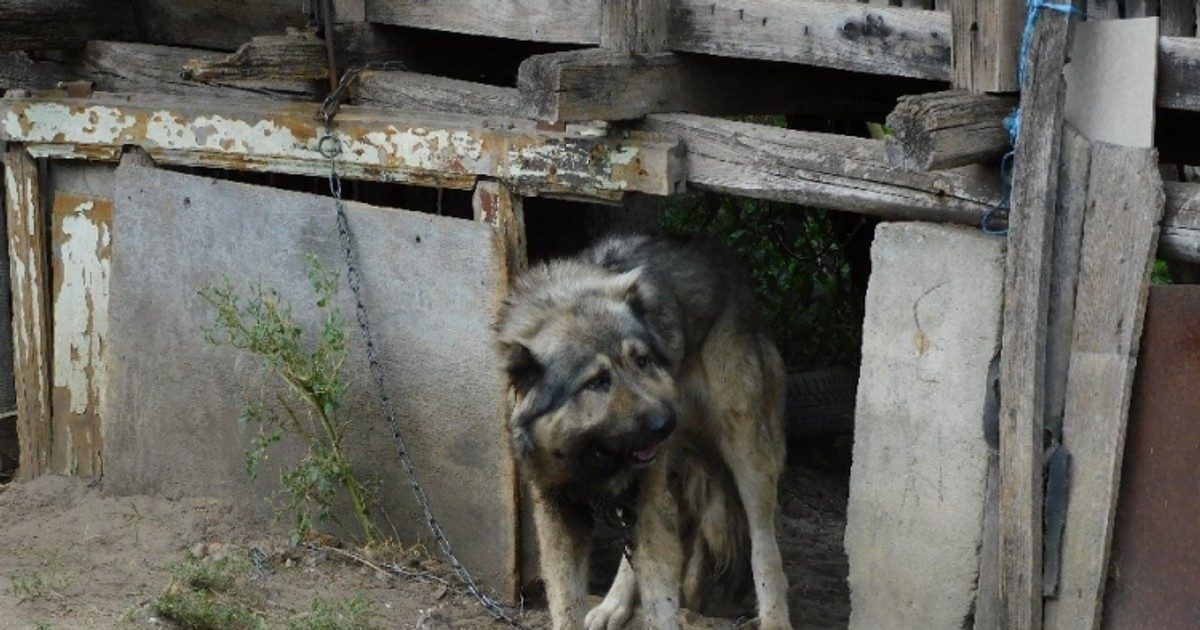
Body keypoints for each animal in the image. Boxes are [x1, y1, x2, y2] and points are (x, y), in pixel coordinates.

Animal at [492, 234, 792, 628]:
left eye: (642, 361)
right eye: (597, 382)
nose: (666, 423)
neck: (591, 460)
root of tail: (719, 254)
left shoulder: (650, 492)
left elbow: (659, 593)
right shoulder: (558, 507)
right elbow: (565, 600)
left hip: (746, 452)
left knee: (763, 544)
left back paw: (773, 617)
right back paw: (615, 606)